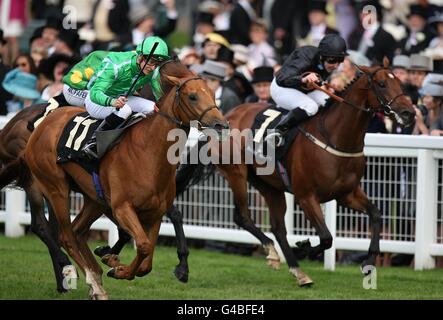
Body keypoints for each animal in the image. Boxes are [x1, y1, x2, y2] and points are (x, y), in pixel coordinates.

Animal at [0, 60, 229, 300]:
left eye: (212, 93)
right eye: (192, 96)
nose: (221, 125)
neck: (148, 152)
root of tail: (37, 129)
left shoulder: (154, 213)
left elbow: (147, 260)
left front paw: (114, 261)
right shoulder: (122, 207)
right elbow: (143, 245)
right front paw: (117, 267)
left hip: (94, 198)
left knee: (77, 231)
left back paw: (94, 277)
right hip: (54, 188)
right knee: (64, 235)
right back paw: (84, 278)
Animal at [176, 58, 416, 286]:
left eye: (400, 82)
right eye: (382, 84)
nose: (409, 113)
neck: (334, 136)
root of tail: (224, 117)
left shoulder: (347, 194)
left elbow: (375, 214)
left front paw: (368, 261)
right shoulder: (306, 196)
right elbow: (327, 237)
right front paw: (304, 246)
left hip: (269, 185)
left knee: (278, 228)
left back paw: (298, 271)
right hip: (237, 173)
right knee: (243, 217)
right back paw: (273, 253)